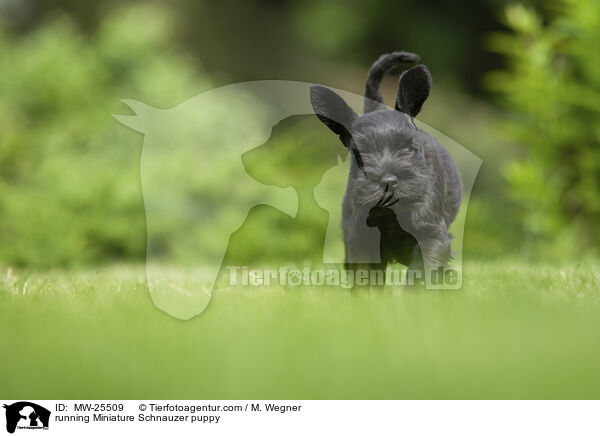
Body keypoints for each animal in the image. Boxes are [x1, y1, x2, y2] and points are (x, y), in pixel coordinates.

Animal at [312, 52, 462, 282]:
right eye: (359, 154)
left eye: (408, 148)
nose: (389, 181)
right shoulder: (361, 240)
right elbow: (366, 277)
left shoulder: (431, 235)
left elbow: (421, 272)